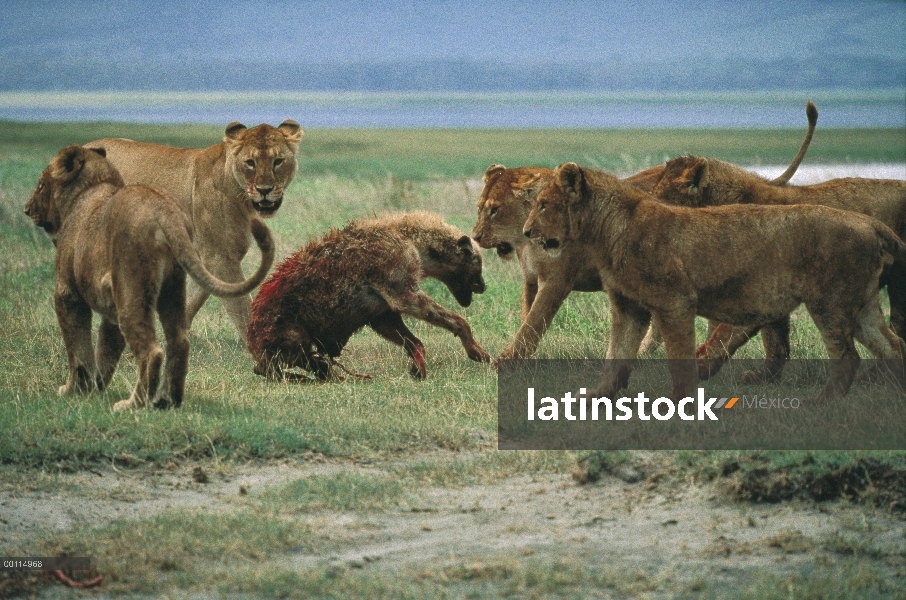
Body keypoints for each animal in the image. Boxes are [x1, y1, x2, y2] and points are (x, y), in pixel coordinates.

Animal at [26, 144, 278, 412]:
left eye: (40, 185)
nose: (27, 209)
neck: (91, 187)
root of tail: (166, 214)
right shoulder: (110, 311)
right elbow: (105, 350)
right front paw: (95, 387)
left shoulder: (67, 294)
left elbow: (78, 349)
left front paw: (72, 389)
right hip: (172, 290)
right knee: (179, 342)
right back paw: (168, 400)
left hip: (132, 294)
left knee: (152, 352)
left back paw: (132, 404)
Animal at [85, 118, 304, 338]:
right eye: (250, 162)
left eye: (278, 161)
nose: (264, 190)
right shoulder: (219, 257)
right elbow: (242, 308)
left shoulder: (205, 259)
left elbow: (191, 302)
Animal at [245, 211, 488, 380]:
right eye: (478, 266)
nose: (484, 286)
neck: (412, 240)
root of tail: (252, 341)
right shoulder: (399, 286)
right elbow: (457, 320)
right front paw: (479, 353)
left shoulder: (381, 312)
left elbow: (410, 339)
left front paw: (418, 369)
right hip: (287, 328)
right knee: (275, 365)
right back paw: (325, 374)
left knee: (272, 367)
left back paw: (327, 372)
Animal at [524, 162, 904, 400]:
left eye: (543, 204)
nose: (526, 232)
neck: (605, 232)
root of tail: (870, 224)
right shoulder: (628, 308)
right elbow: (615, 355)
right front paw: (596, 396)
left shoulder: (675, 302)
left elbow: (679, 357)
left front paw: (679, 402)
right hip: (861, 307)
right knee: (894, 346)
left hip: (829, 303)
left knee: (848, 358)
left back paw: (821, 403)